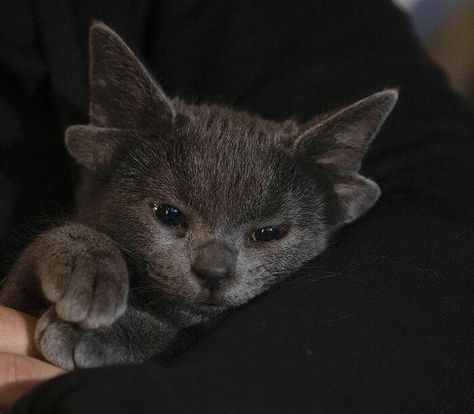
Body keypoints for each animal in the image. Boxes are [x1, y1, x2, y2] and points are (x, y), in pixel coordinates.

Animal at [0, 22, 398, 370]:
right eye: (168, 214)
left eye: (270, 233)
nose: (214, 271)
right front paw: (89, 268)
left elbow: (175, 338)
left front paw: (103, 333)